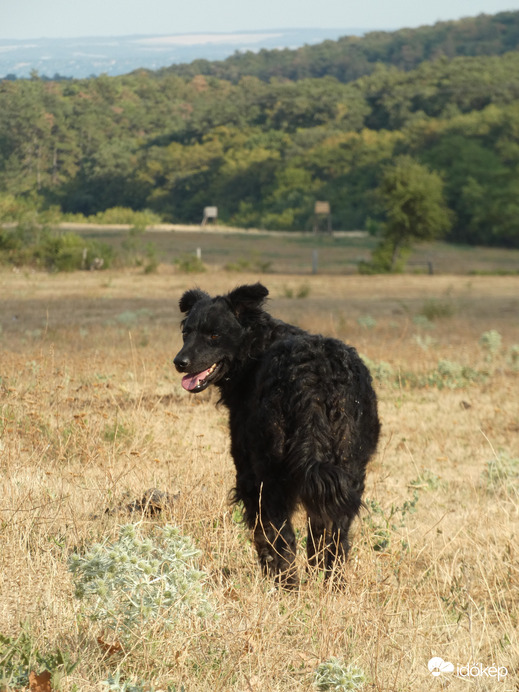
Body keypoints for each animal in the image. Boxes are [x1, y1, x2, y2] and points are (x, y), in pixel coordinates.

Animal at [173, 284, 380, 588]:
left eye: (214, 335)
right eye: (186, 332)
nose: (179, 362)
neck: (256, 349)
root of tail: (315, 378)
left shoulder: (249, 476)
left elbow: (266, 536)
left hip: (271, 475)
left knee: (282, 538)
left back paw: (287, 586)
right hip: (348, 468)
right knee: (335, 538)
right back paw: (332, 586)